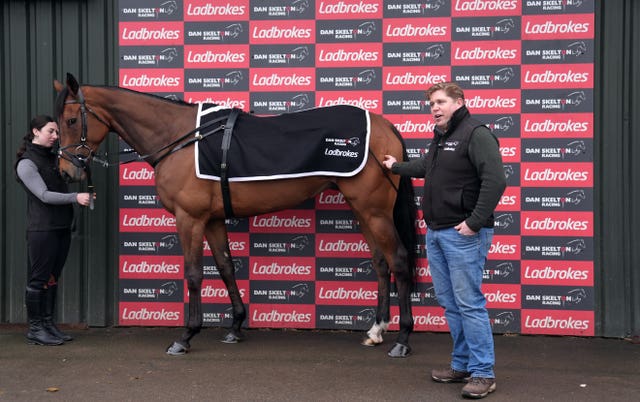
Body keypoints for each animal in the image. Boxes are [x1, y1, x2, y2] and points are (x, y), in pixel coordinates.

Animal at [55, 70, 420, 356]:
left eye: (71, 120)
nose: (66, 172)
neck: (181, 139)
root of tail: (384, 126)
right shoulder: (214, 218)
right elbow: (226, 267)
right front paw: (235, 326)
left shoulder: (190, 218)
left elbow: (194, 274)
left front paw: (186, 336)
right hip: (363, 209)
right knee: (381, 263)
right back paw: (376, 331)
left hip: (374, 210)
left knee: (399, 260)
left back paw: (402, 338)